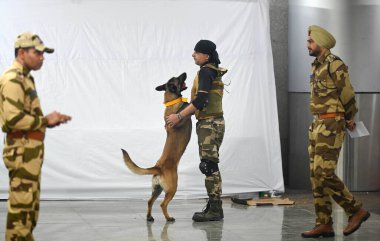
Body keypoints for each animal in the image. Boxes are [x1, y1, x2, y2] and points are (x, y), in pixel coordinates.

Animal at [121, 72, 191, 223]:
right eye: (178, 78)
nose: (185, 73)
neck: (172, 100)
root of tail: (158, 168)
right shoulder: (179, 118)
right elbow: (184, 108)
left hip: (157, 189)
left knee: (149, 201)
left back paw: (149, 217)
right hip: (172, 189)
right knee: (162, 204)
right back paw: (168, 218)